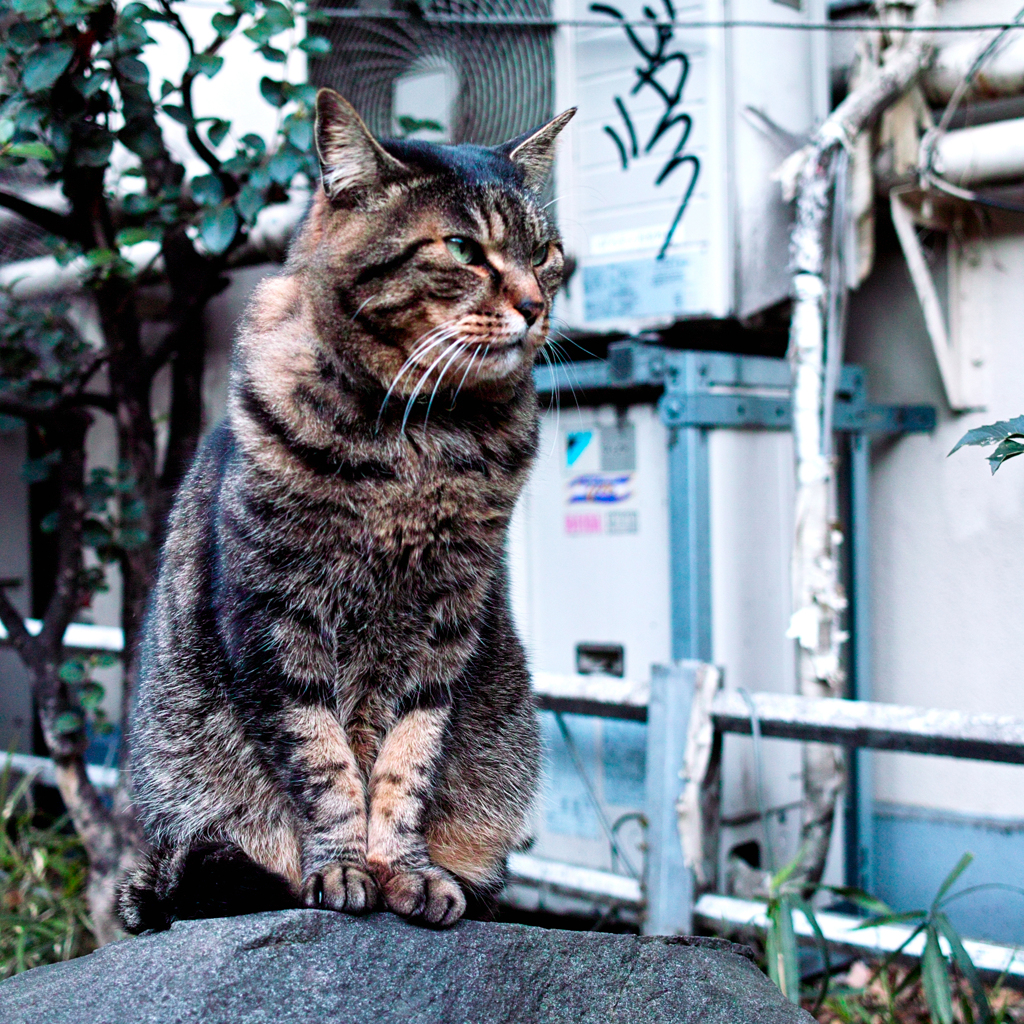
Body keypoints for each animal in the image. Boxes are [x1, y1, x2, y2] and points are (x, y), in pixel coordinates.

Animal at [117, 92, 577, 933]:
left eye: (548, 252)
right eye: (463, 248)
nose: (534, 305)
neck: (416, 445)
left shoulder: (448, 622)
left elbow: (406, 761)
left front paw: (405, 872)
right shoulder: (272, 615)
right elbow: (324, 761)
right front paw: (339, 870)